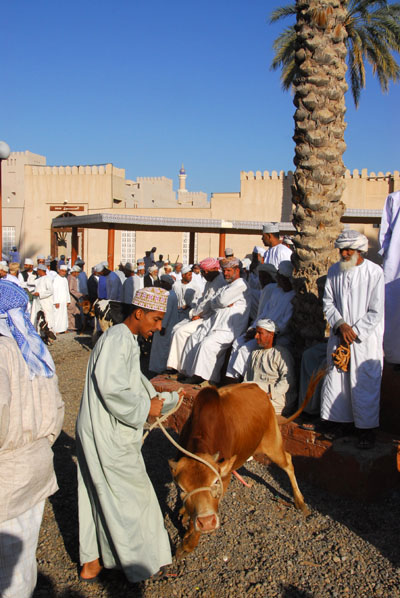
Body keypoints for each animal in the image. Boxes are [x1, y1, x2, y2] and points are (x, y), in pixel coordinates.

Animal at [170, 372, 324, 560]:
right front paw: (186, 517)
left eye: (215, 483)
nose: (206, 522)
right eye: (181, 488)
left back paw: (300, 501)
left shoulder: (225, 478)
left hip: (272, 443)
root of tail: (261, 392)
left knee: (288, 462)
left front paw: (188, 544)